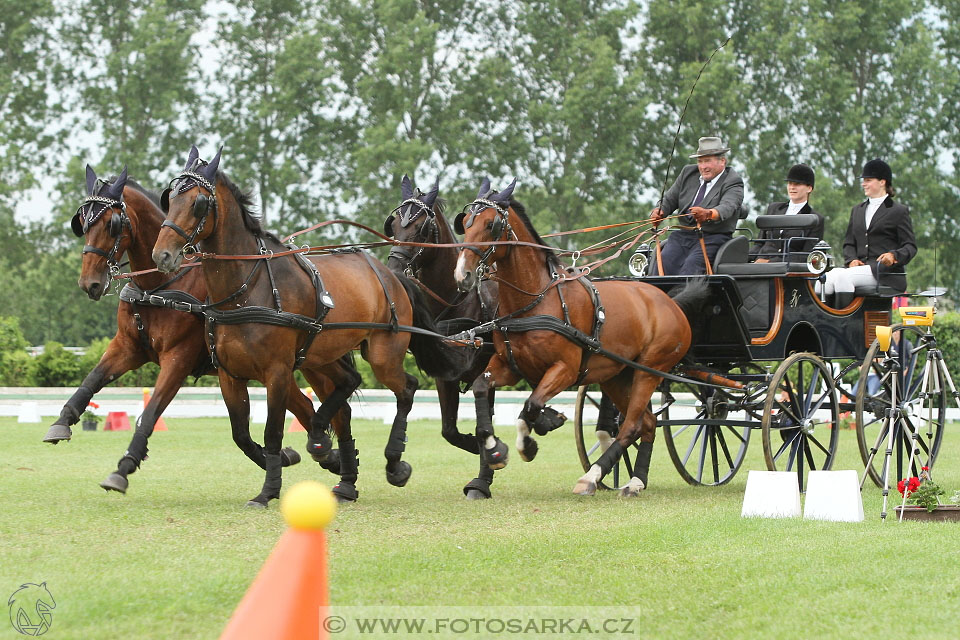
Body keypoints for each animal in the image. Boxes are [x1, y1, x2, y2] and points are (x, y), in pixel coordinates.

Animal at [45, 165, 340, 496]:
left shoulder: (179, 358)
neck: (159, 286)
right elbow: (92, 380)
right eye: (82, 222)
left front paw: (125, 466)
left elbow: (151, 412)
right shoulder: (127, 347)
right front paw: (62, 421)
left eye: (112, 224)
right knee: (305, 406)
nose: (90, 283)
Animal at [151, 146, 464, 504]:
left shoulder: (276, 371)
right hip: (322, 354)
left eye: (198, 204)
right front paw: (296, 458)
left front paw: (268, 491)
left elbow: (272, 432)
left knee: (406, 388)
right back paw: (341, 473)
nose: (162, 255)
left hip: (383, 353)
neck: (246, 290)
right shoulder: (230, 374)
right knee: (349, 384)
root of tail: (393, 275)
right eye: (170, 198)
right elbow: (240, 434)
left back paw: (392, 462)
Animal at [386, 176, 512, 500]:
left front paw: (483, 476)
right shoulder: (445, 375)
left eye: (421, 229)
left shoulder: (485, 368)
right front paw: (476, 448)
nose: (393, 269)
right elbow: (449, 431)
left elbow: (484, 420)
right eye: (393, 225)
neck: (457, 301)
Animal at [450, 179, 704, 496]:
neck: (536, 300)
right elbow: (481, 388)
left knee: (632, 425)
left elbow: (530, 406)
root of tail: (671, 303)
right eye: (465, 223)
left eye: (491, 225)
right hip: (617, 375)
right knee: (647, 423)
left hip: (650, 370)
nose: (463, 275)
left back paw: (592, 477)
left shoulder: (565, 369)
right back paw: (635, 481)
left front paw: (530, 441)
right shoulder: (509, 365)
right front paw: (495, 449)